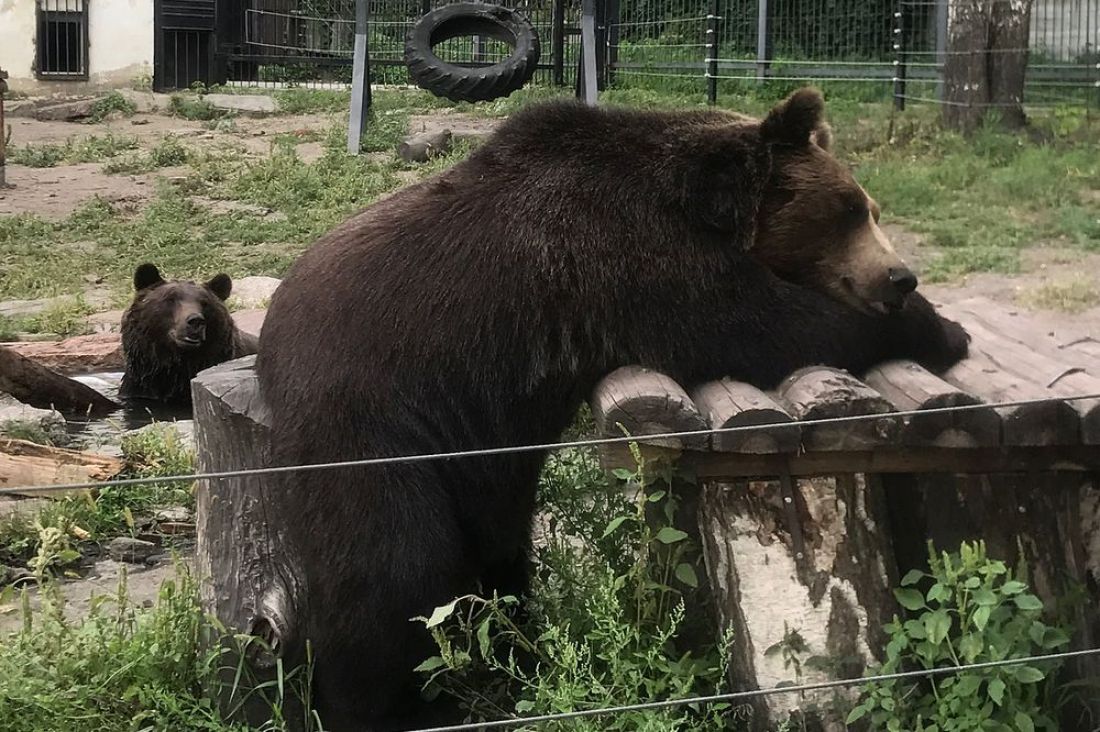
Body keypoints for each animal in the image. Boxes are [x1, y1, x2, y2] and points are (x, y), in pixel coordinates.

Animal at [255, 88, 963, 726]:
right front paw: (943, 330)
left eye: (869, 207)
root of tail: (268, 343)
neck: (701, 205)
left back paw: (517, 650)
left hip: (477, 448)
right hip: (368, 426)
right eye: (849, 210)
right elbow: (767, 327)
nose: (900, 277)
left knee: (497, 541)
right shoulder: (634, 262)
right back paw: (385, 705)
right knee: (395, 570)